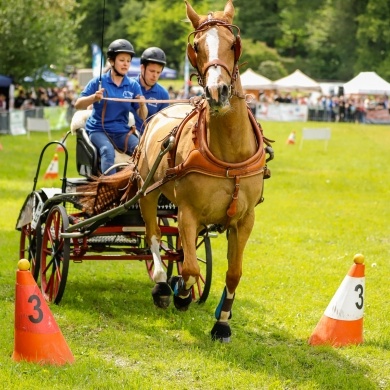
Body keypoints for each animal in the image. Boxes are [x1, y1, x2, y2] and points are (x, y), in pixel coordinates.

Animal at [136, 0, 272, 342]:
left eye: (233, 43)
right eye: (196, 46)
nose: (216, 92)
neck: (229, 156)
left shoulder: (245, 219)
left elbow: (233, 272)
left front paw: (222, 321)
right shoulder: (188, 213)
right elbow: (189, 268)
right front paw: (182, 295)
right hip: (148, 192)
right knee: (154, 236)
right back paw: (163, 284)